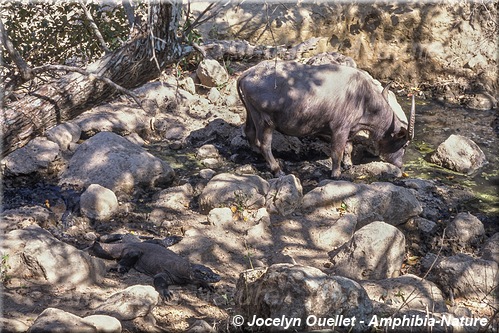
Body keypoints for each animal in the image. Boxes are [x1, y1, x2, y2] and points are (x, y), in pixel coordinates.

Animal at [236, 60, 416, 178]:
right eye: (405, 144)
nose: (401, 165)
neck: (363, 98)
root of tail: (247, 73)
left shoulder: (349, 130)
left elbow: (348, 148)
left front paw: (348, 164)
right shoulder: (340, 129)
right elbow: (337, 151)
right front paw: (336, 173)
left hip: (251, 113)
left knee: (249, 132)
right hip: (264, 120)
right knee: (265, 144)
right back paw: (277, 169)